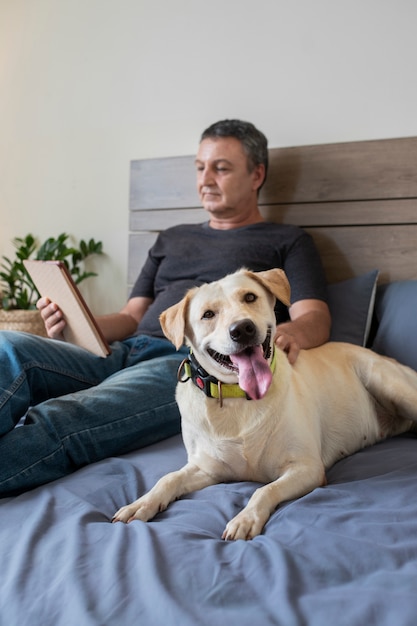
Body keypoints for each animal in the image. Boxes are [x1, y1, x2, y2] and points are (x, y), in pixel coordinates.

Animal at [112, 266, 416, 536]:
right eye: (208, 314)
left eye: (250, 297)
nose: (242, 329)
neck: (238, 397)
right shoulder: (208, 469)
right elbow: (169, 478)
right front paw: (141, 503)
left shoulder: (307, 468)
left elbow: (263, 489)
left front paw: (245, 519)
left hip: (388, 382)